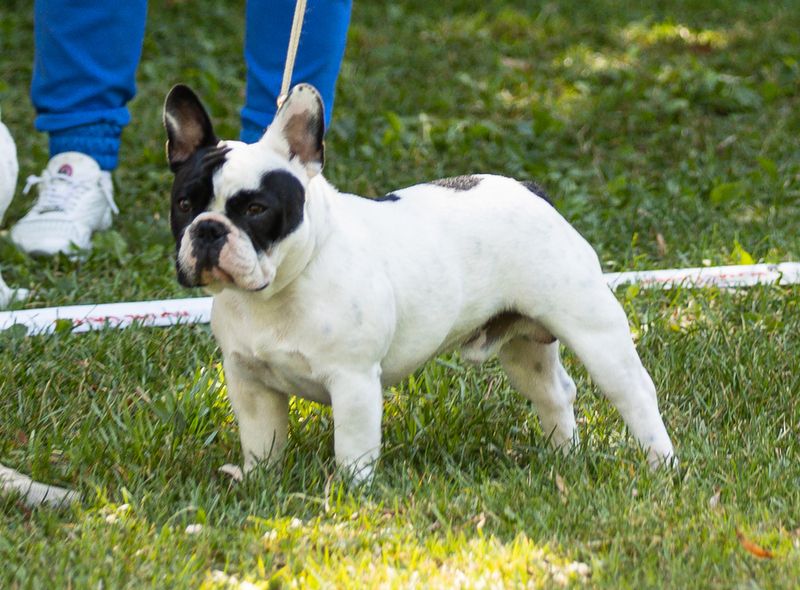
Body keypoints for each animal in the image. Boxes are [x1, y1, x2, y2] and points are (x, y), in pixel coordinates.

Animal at [162, 83, 676, 484]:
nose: (208, 230)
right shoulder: (250, 384)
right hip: (524, 349)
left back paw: (661, 463)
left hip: (595, 332)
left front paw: (351, 494)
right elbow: (262, 441)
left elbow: (353, 451)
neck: (277, 291)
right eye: (185, 205)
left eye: (255, 209)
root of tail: (533, 192)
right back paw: (563, 457)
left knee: (635, 393)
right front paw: (258, 481)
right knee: (554, 394)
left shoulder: (352, 383)